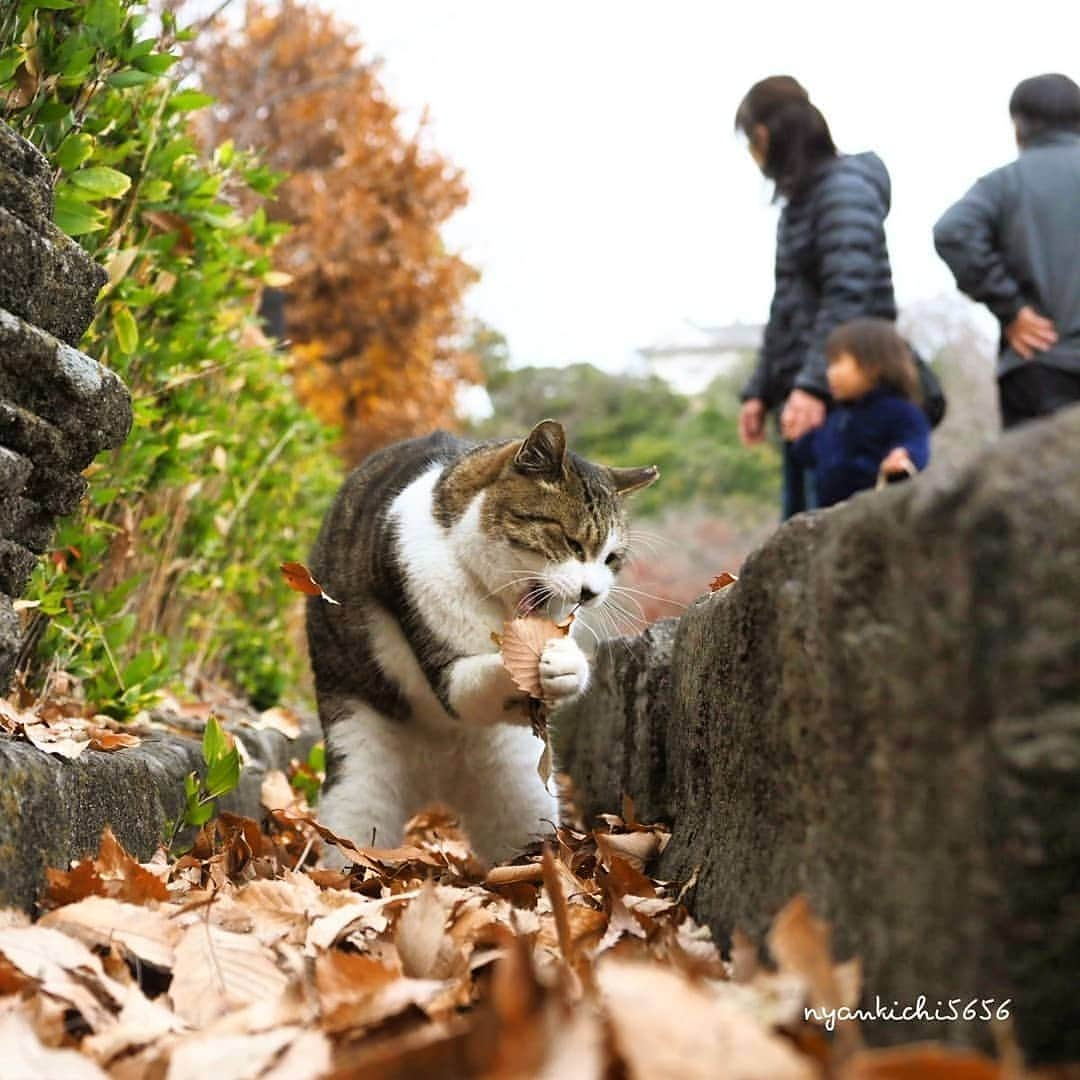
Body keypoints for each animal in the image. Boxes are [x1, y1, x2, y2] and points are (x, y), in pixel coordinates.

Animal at [306, 416, 656, 864]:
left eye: (612, 559)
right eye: (572, 542)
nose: (591, 592)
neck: (496, 604)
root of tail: (436, 781)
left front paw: (566, 666)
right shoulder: (435, 642)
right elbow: (466, 686)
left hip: (522, 789)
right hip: (359, 775)